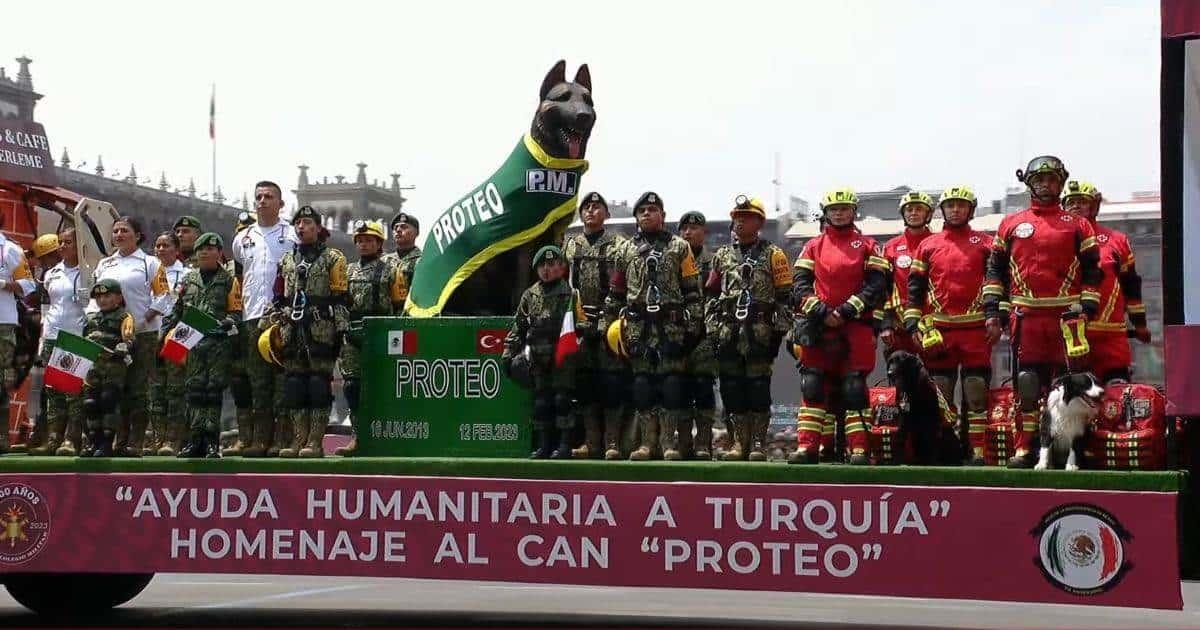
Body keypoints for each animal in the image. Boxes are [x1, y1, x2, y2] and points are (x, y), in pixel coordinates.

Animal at [441, 61, 595, 314]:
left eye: (587, 100)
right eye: (563, 97)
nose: (584, 115)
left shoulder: (555, 234)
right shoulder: (525, 239)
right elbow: (523, 276)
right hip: (475, 263)